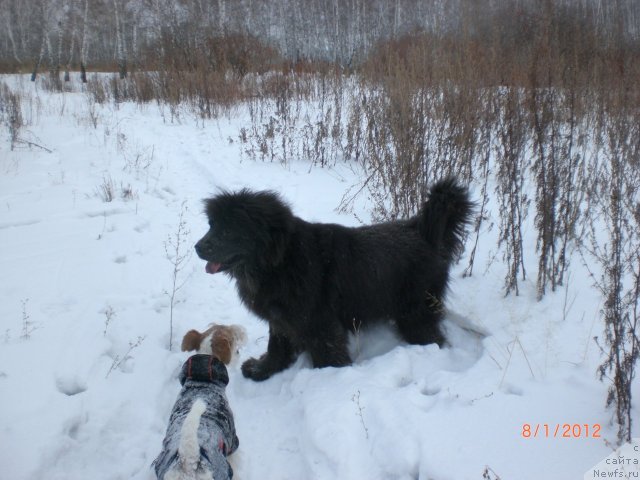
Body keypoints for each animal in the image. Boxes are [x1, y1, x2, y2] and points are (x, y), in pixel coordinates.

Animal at [194, 178, 470, 380]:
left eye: (229, 230)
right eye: (211, 224)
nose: (197, 247)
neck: (281, 261)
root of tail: (422, 232)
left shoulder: (320, 323)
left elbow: (328, 354)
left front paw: (329, 380)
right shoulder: (281, 319)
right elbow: (277, 346)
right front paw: (263, 370)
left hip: (415, 310)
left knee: (431, 335)